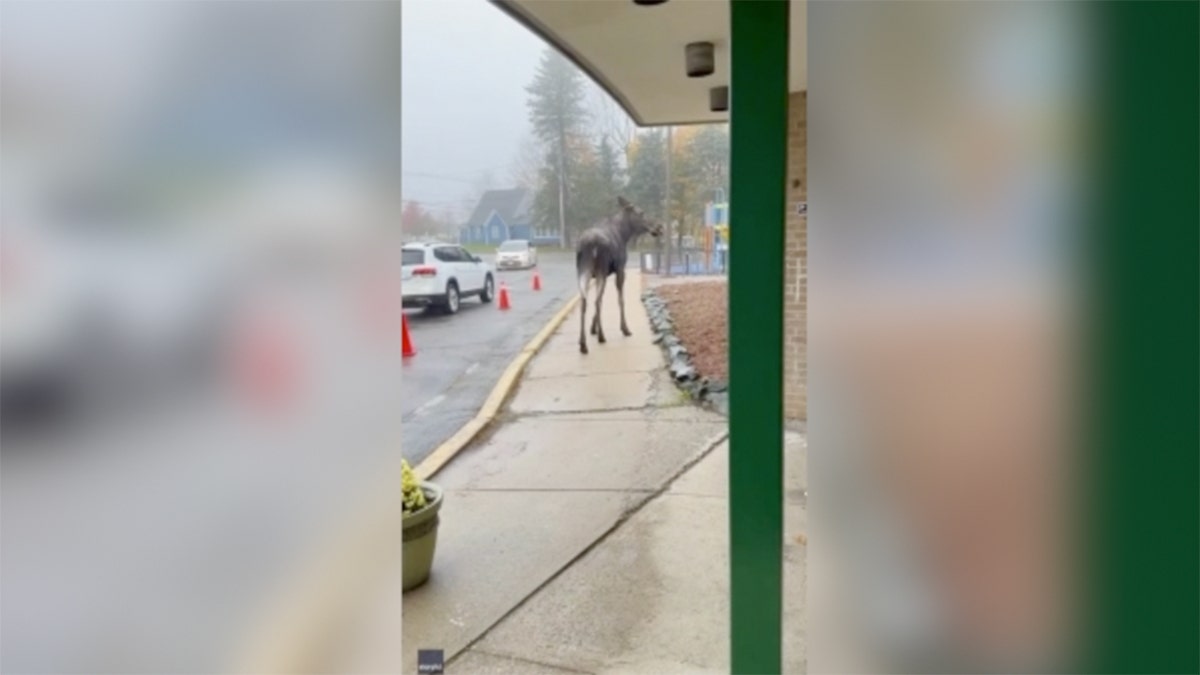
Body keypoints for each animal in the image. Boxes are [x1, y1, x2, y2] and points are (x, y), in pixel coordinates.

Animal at [573, 194, 662, 355]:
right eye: (641, 212)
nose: (658, 227)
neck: (624, 235)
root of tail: (589, 244)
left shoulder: (603, 274)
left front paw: (592, 328)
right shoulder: (620, 269)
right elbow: (620, 299)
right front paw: (625, 328)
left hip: (583, 271)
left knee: (585, 300)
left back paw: (582, 343)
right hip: (600, 269)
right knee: (596, 301)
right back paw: (602, 336)